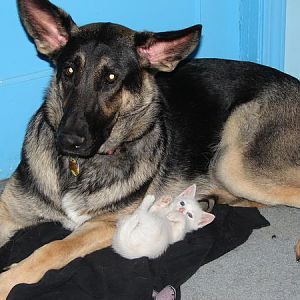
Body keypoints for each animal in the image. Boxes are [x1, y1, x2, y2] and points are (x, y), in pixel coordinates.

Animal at [0, 0, 300, 298]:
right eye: (69, 71)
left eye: (111, 78)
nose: (68, 140)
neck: (81, 167)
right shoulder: (10, 207)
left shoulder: (103, 225)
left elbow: (52, 249)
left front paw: (8, 281)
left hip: (230, 164)